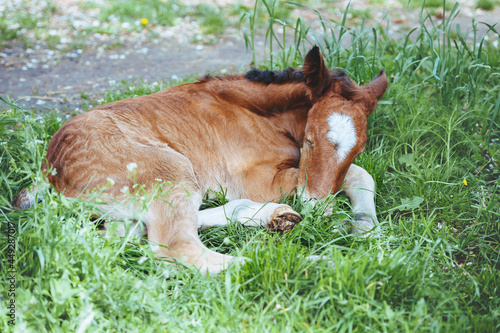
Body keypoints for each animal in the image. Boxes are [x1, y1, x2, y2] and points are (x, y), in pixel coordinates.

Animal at [14, 47, 386, 274]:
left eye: (358, 147)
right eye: (310, 139)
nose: (318, 210)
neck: (259, 113)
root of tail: (50, 169)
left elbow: (361, 173)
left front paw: (365, 227)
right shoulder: (259, 181)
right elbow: (352, 175)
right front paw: (355, 229)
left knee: (132, 234)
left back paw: (274, 217)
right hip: (170, 170)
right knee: (177, 245)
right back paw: (314, 263)